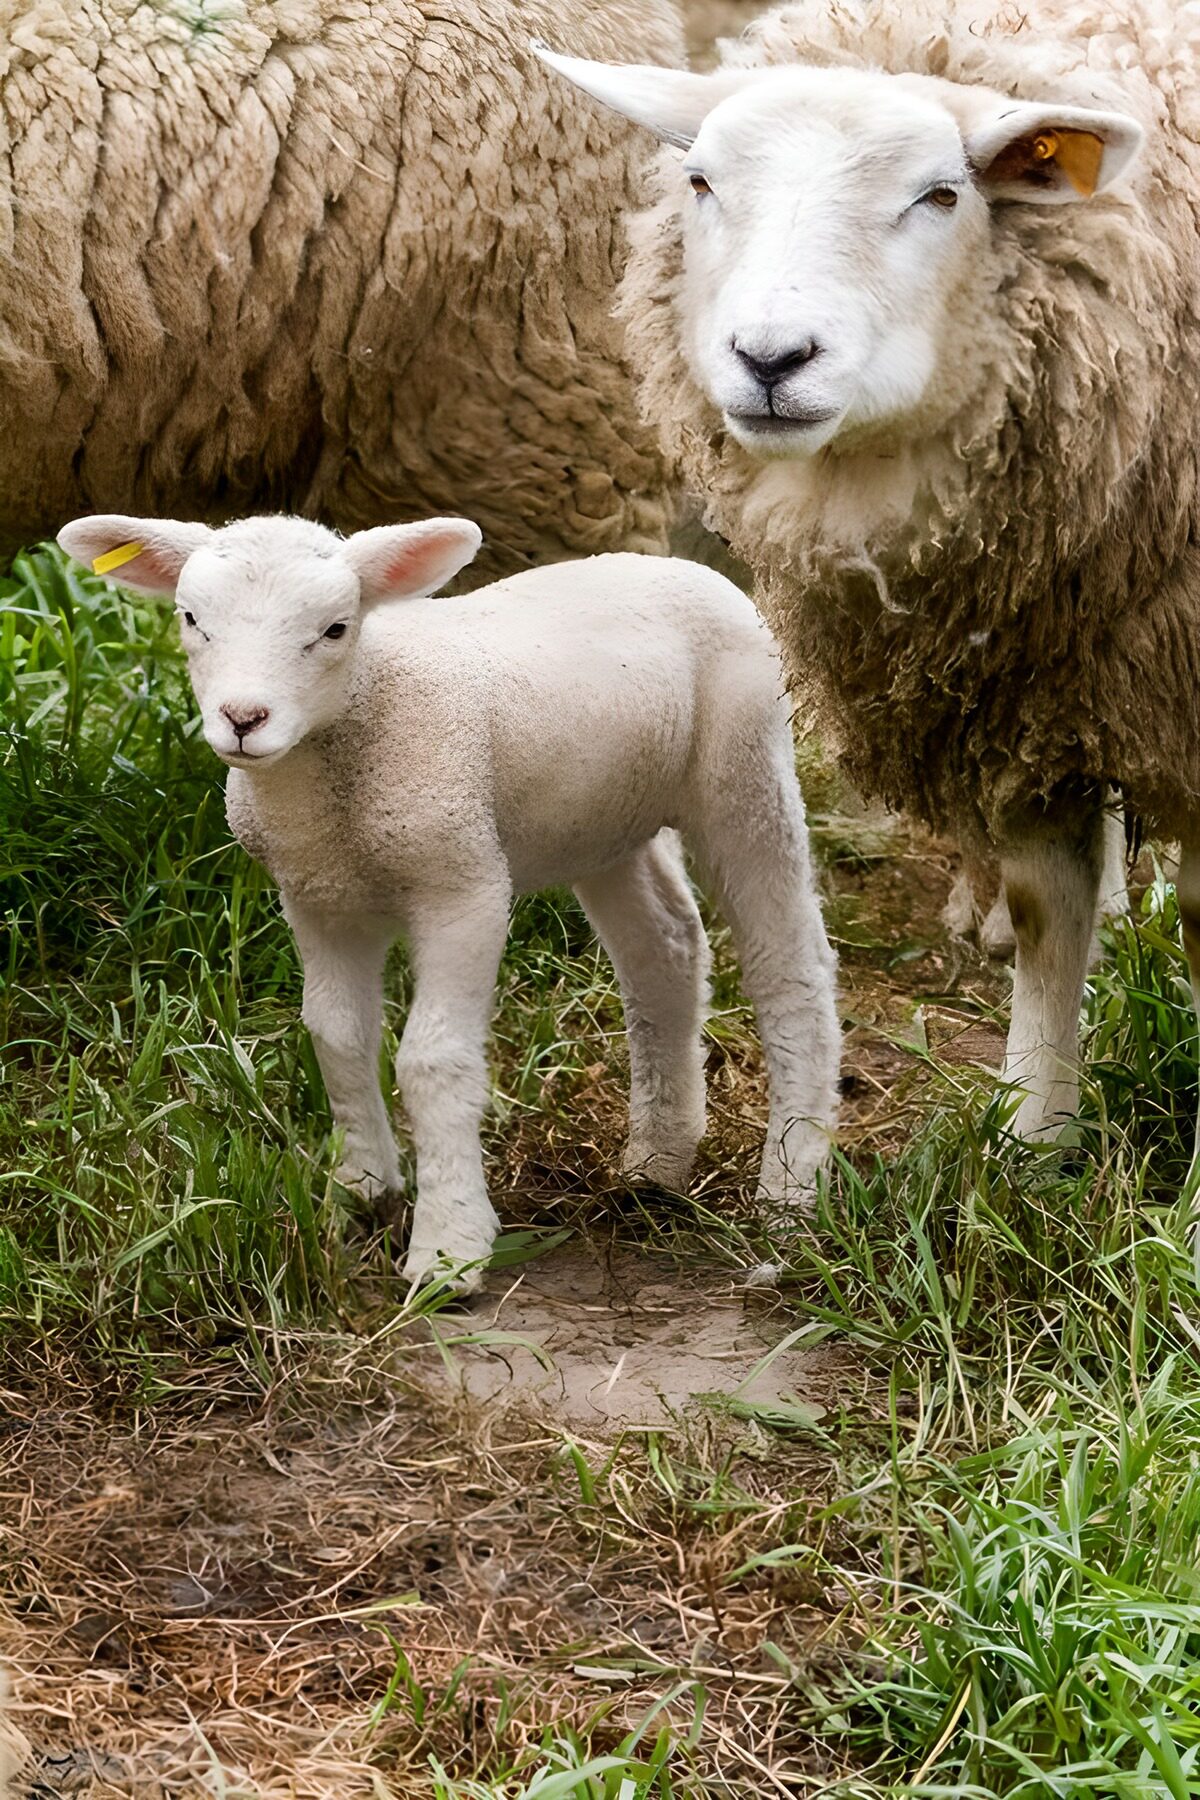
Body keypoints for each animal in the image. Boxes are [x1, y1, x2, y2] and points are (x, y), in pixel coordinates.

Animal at [57, 511, 840, 1288]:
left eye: (335, 628)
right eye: (192, 618)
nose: (243, 719)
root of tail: (681, 565)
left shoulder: (463, 886)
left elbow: (432, 1059)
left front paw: (448, 1248)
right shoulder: (316, 897)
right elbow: (336, 1036)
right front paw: (363, 1196)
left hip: (743, 767)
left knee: (790, 969)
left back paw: (790, 1189)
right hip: (605, 819)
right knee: (664, 949)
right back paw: (657, 1164)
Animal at [534, 0, 1200, 1152]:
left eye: (941, 195)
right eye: (701, 181)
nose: (770, 358)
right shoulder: (1024, 687)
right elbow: (1047, 907)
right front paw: (1034, 1137)